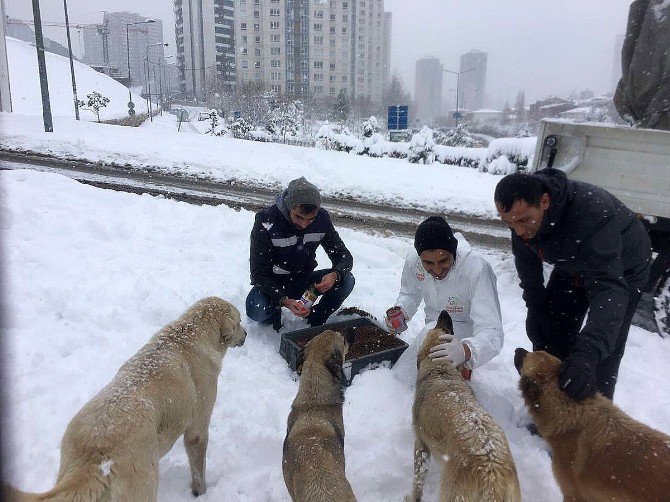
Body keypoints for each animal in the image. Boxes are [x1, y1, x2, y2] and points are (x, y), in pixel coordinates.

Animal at [5, 296, 247, 500]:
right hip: (144, 485)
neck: (188, 334)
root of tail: (95, 454)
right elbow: (198, 469)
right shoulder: (197, 429)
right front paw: (201, 492)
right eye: (239, 322)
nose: (246, 334)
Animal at [406, 312, 524, 500]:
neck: (440, 370)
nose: (444, 313)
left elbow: (418, 481)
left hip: (451, 492)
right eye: (445, 329)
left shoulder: (421, 444)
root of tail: (491, 475)